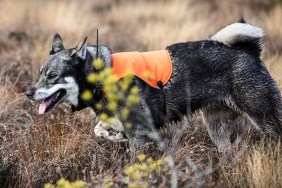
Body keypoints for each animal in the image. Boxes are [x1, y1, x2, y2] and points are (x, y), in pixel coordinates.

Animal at [25, 20, 282, 150]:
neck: (102, 76)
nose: (28, 93)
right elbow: (100, 129)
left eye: (53, 76)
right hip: (216, 127)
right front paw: (114, 135)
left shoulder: (138, 134)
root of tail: (248, 51)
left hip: (265, 118)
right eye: (40, 74)